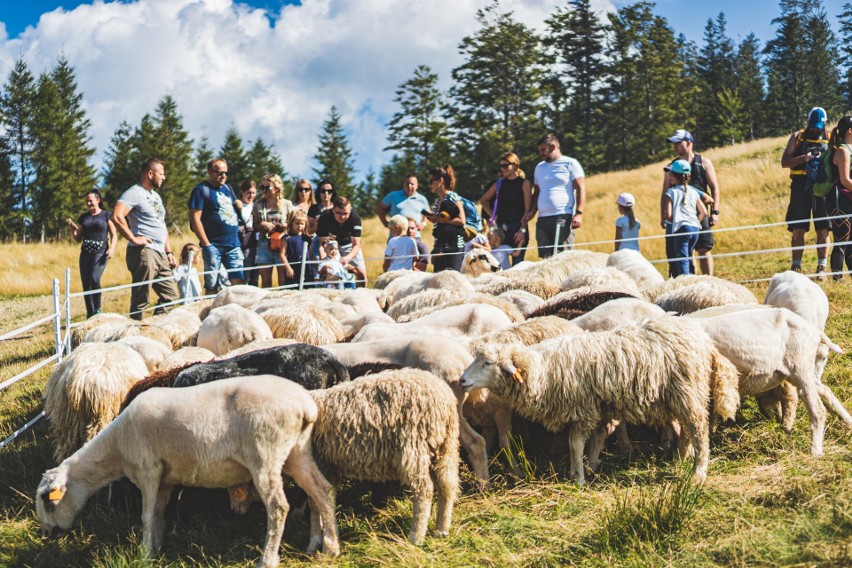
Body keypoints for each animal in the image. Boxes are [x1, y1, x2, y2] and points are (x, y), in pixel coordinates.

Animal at [34, 374, 340, 564]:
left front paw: (144, 554)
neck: (117, 447)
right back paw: (328, 547)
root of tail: (306, 405)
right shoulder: (165, 477)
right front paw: (156, 547)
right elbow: (158, 512)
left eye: (48, 502)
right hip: (297, 452)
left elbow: (146, 515)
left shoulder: (148, 469)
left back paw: (268, 558)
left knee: (278, 507)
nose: (47, 534)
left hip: (265, 455)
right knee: (322, 491)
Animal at [456, 318, 744, 482]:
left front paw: (579, 478)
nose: (462, 380)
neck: (543, 370)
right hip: (676, 396)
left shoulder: (582, 409)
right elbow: (593, 440)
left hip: (688, 391)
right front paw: (588, 468)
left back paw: (699, 471)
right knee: (685, 429)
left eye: (487, 363)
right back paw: (683, 457)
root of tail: (705, 342)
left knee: (699, 430)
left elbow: (575, 444)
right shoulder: (595, 408)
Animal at [688, 306, 848, 452]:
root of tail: (814, 331)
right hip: (794, 372)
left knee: (818, 410)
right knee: (826, 391)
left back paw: (815, 452)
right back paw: (848, 422)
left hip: (800, 367)